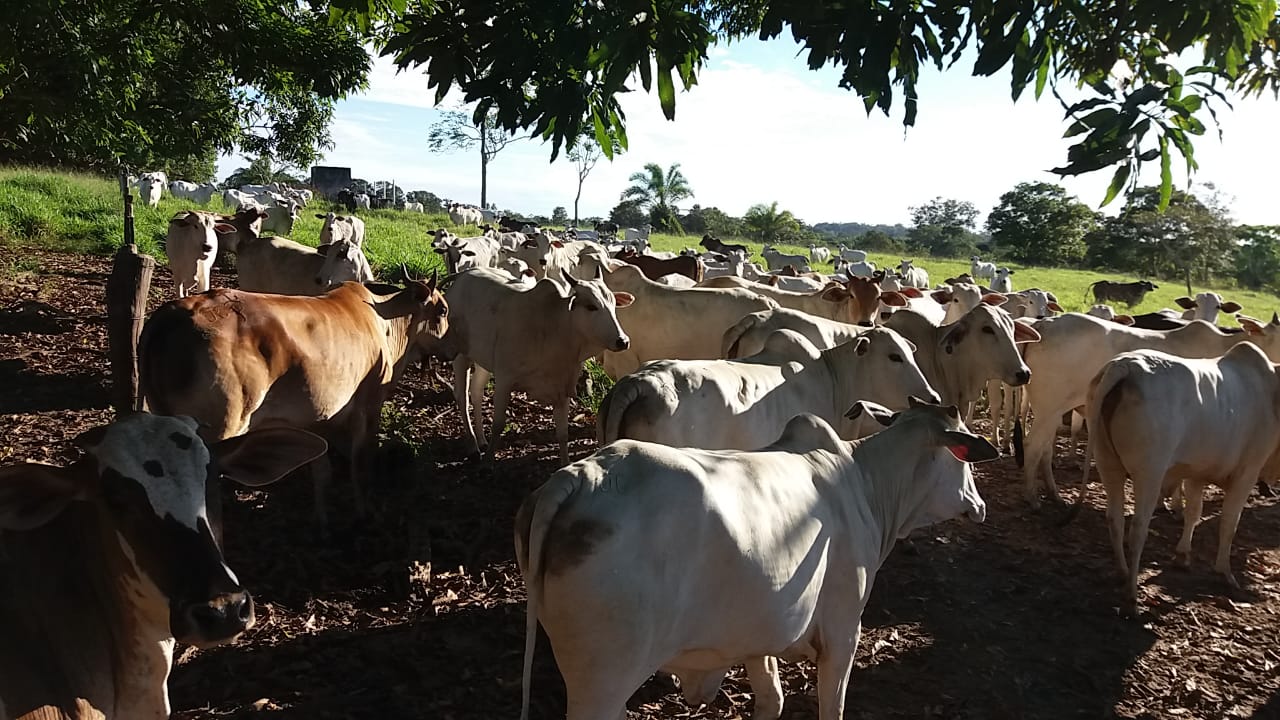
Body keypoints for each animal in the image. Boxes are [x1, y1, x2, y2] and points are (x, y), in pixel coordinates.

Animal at [138, 274, 450, 520]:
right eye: (443, 310)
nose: (451, 347)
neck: (384, 322)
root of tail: (171, 315)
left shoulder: (317, 415)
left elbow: (322, 472)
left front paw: (323, 522)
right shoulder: (369, 405)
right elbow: (360, 464)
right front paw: (365, 511)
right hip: (219, 432)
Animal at [1085, 345, 1280, 614]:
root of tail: (1125, 365)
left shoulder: (1196, 473)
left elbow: (1193, 514)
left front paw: (1183, 556)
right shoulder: (1247, 472)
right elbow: (1229, 523)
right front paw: (1225, 572)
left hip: (1107, 463)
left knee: (1114, 519)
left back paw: (1123, 573)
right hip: (1149, 472)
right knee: (1137, 529)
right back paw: (1132, 597)